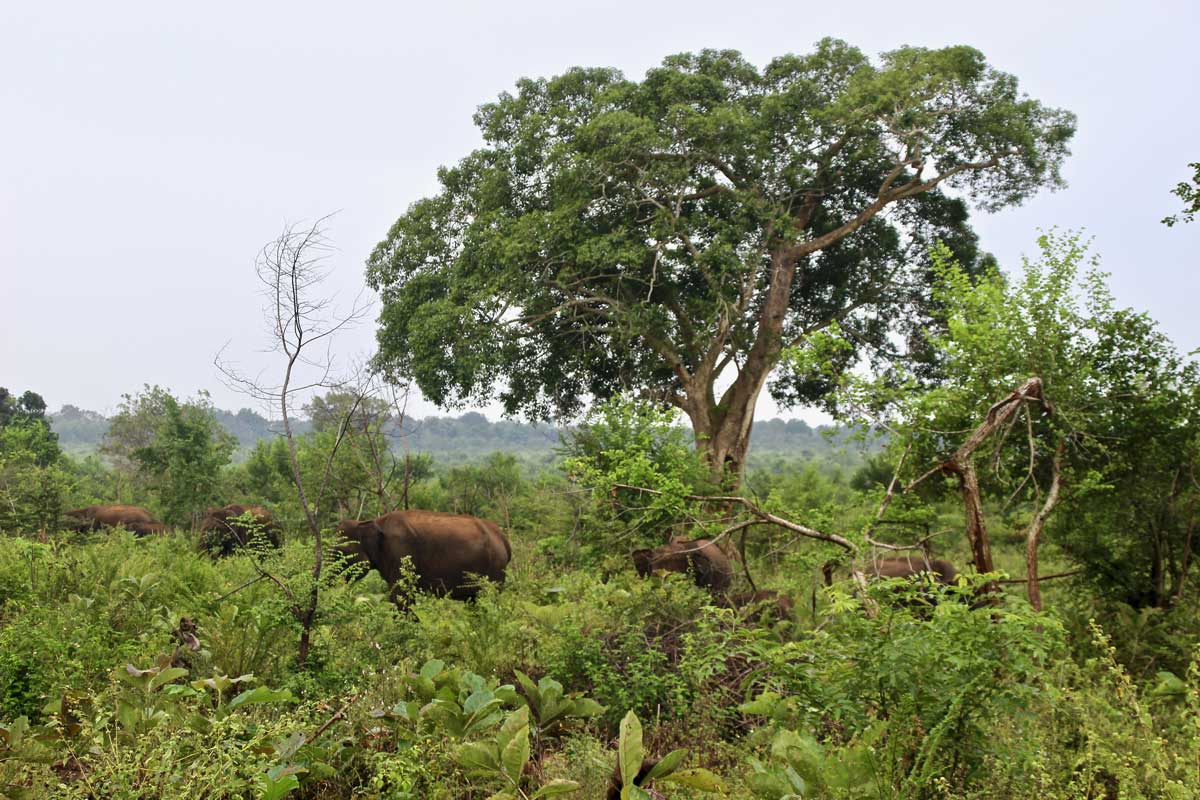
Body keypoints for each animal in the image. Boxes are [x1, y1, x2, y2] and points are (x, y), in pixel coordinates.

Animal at [333, 513, 511, 599]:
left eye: (339, 553)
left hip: (494, 569)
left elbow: (400, 596)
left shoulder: (401, 552)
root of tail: (503, 537)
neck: (370, 521)